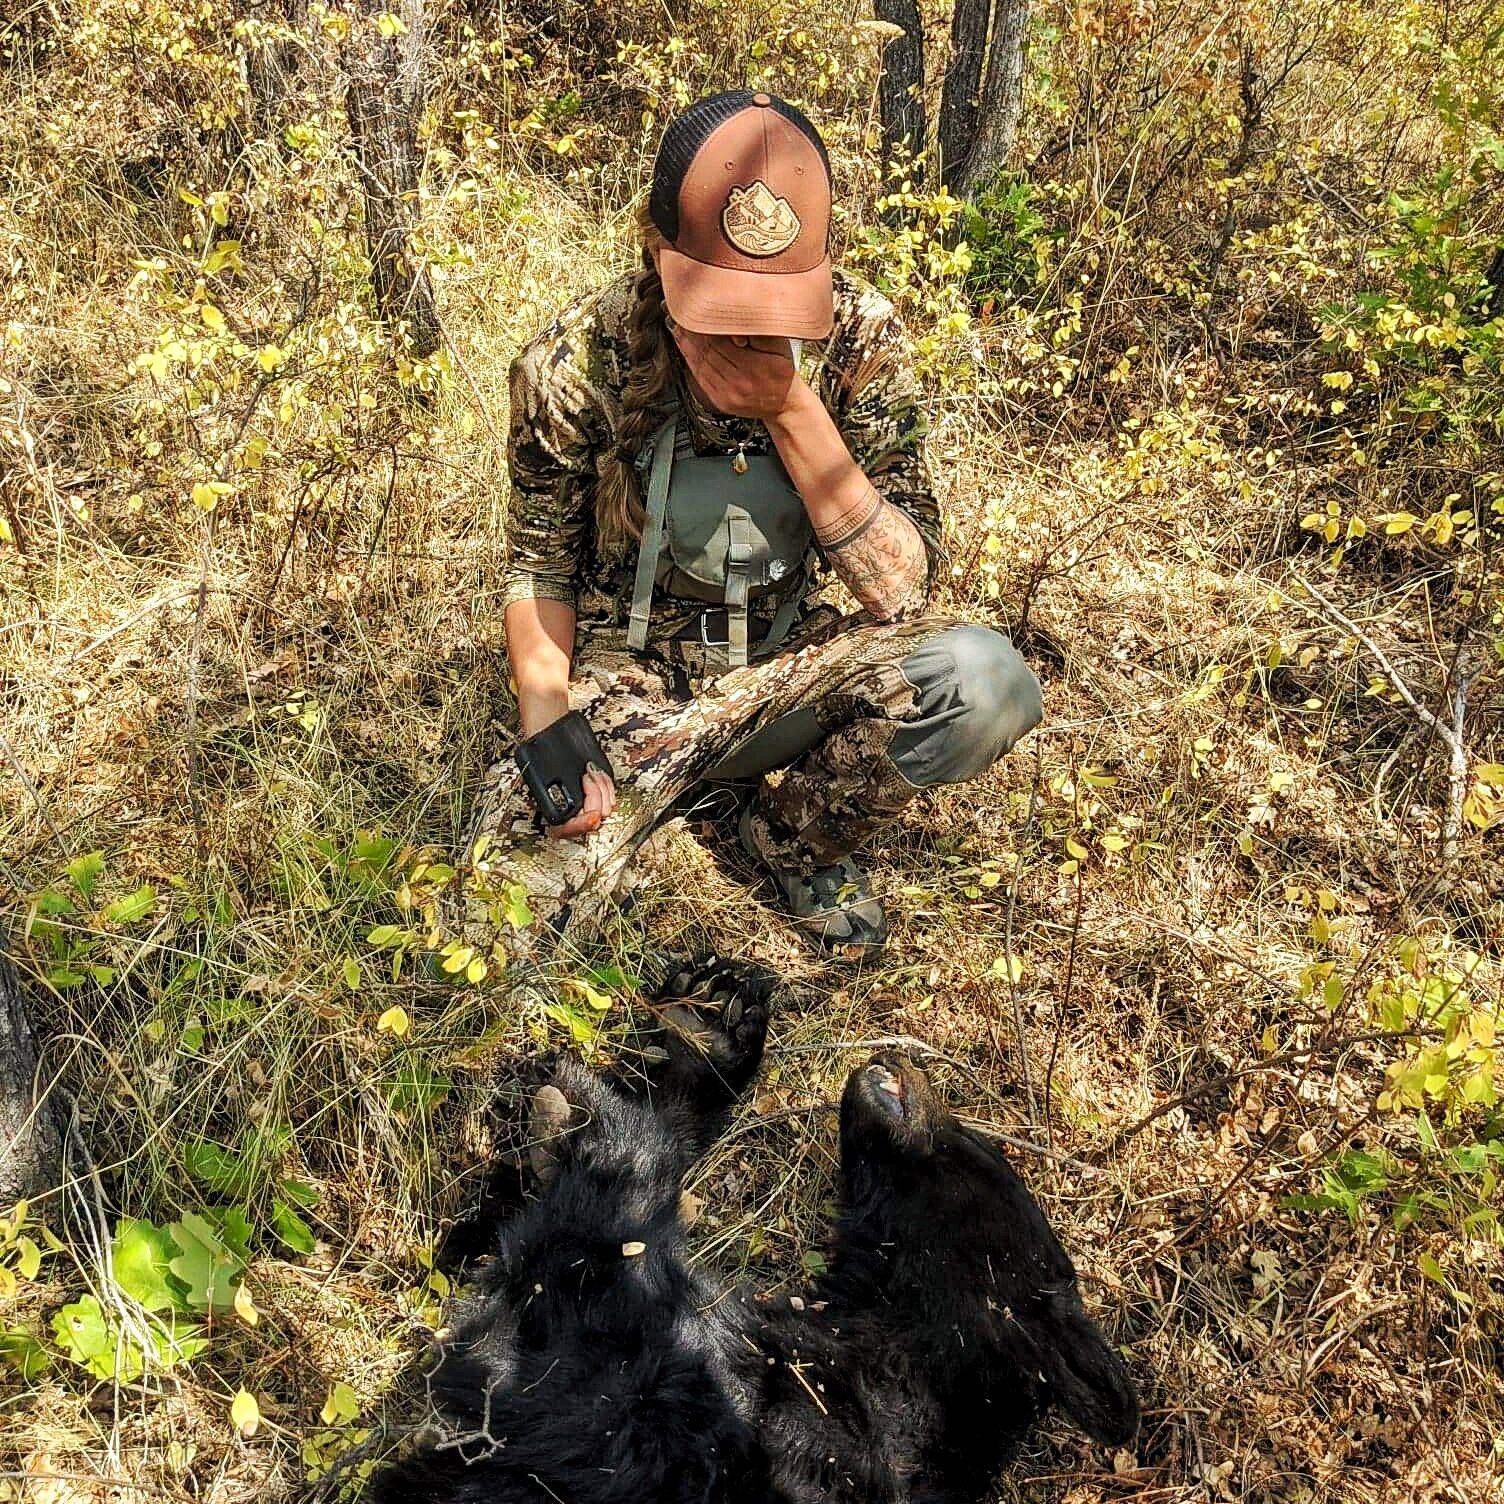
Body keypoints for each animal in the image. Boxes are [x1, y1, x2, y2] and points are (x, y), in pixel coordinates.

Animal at [365, 957, 1138, 1504]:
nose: (905, 1061)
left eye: (978, 1147)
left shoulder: (706, 1412)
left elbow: (596, 1251)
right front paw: (709, 1028)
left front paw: (589, 1118)